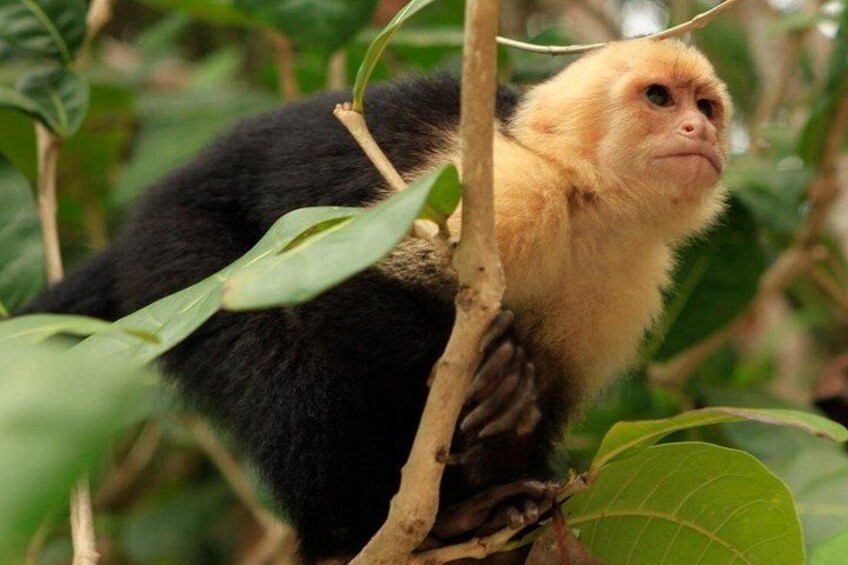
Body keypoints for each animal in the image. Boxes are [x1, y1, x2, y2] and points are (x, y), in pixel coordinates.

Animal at [19, 38, 731, 560]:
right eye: (659, 98)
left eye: (707, 106)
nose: (698, 129)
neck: (587, 201)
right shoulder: (507, 187)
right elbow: (338, 285)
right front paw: (492, 375)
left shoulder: (626, 278)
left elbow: (553, 393)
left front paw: (513, 471)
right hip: (177, 253)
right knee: (281, 366)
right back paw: (355, 531)